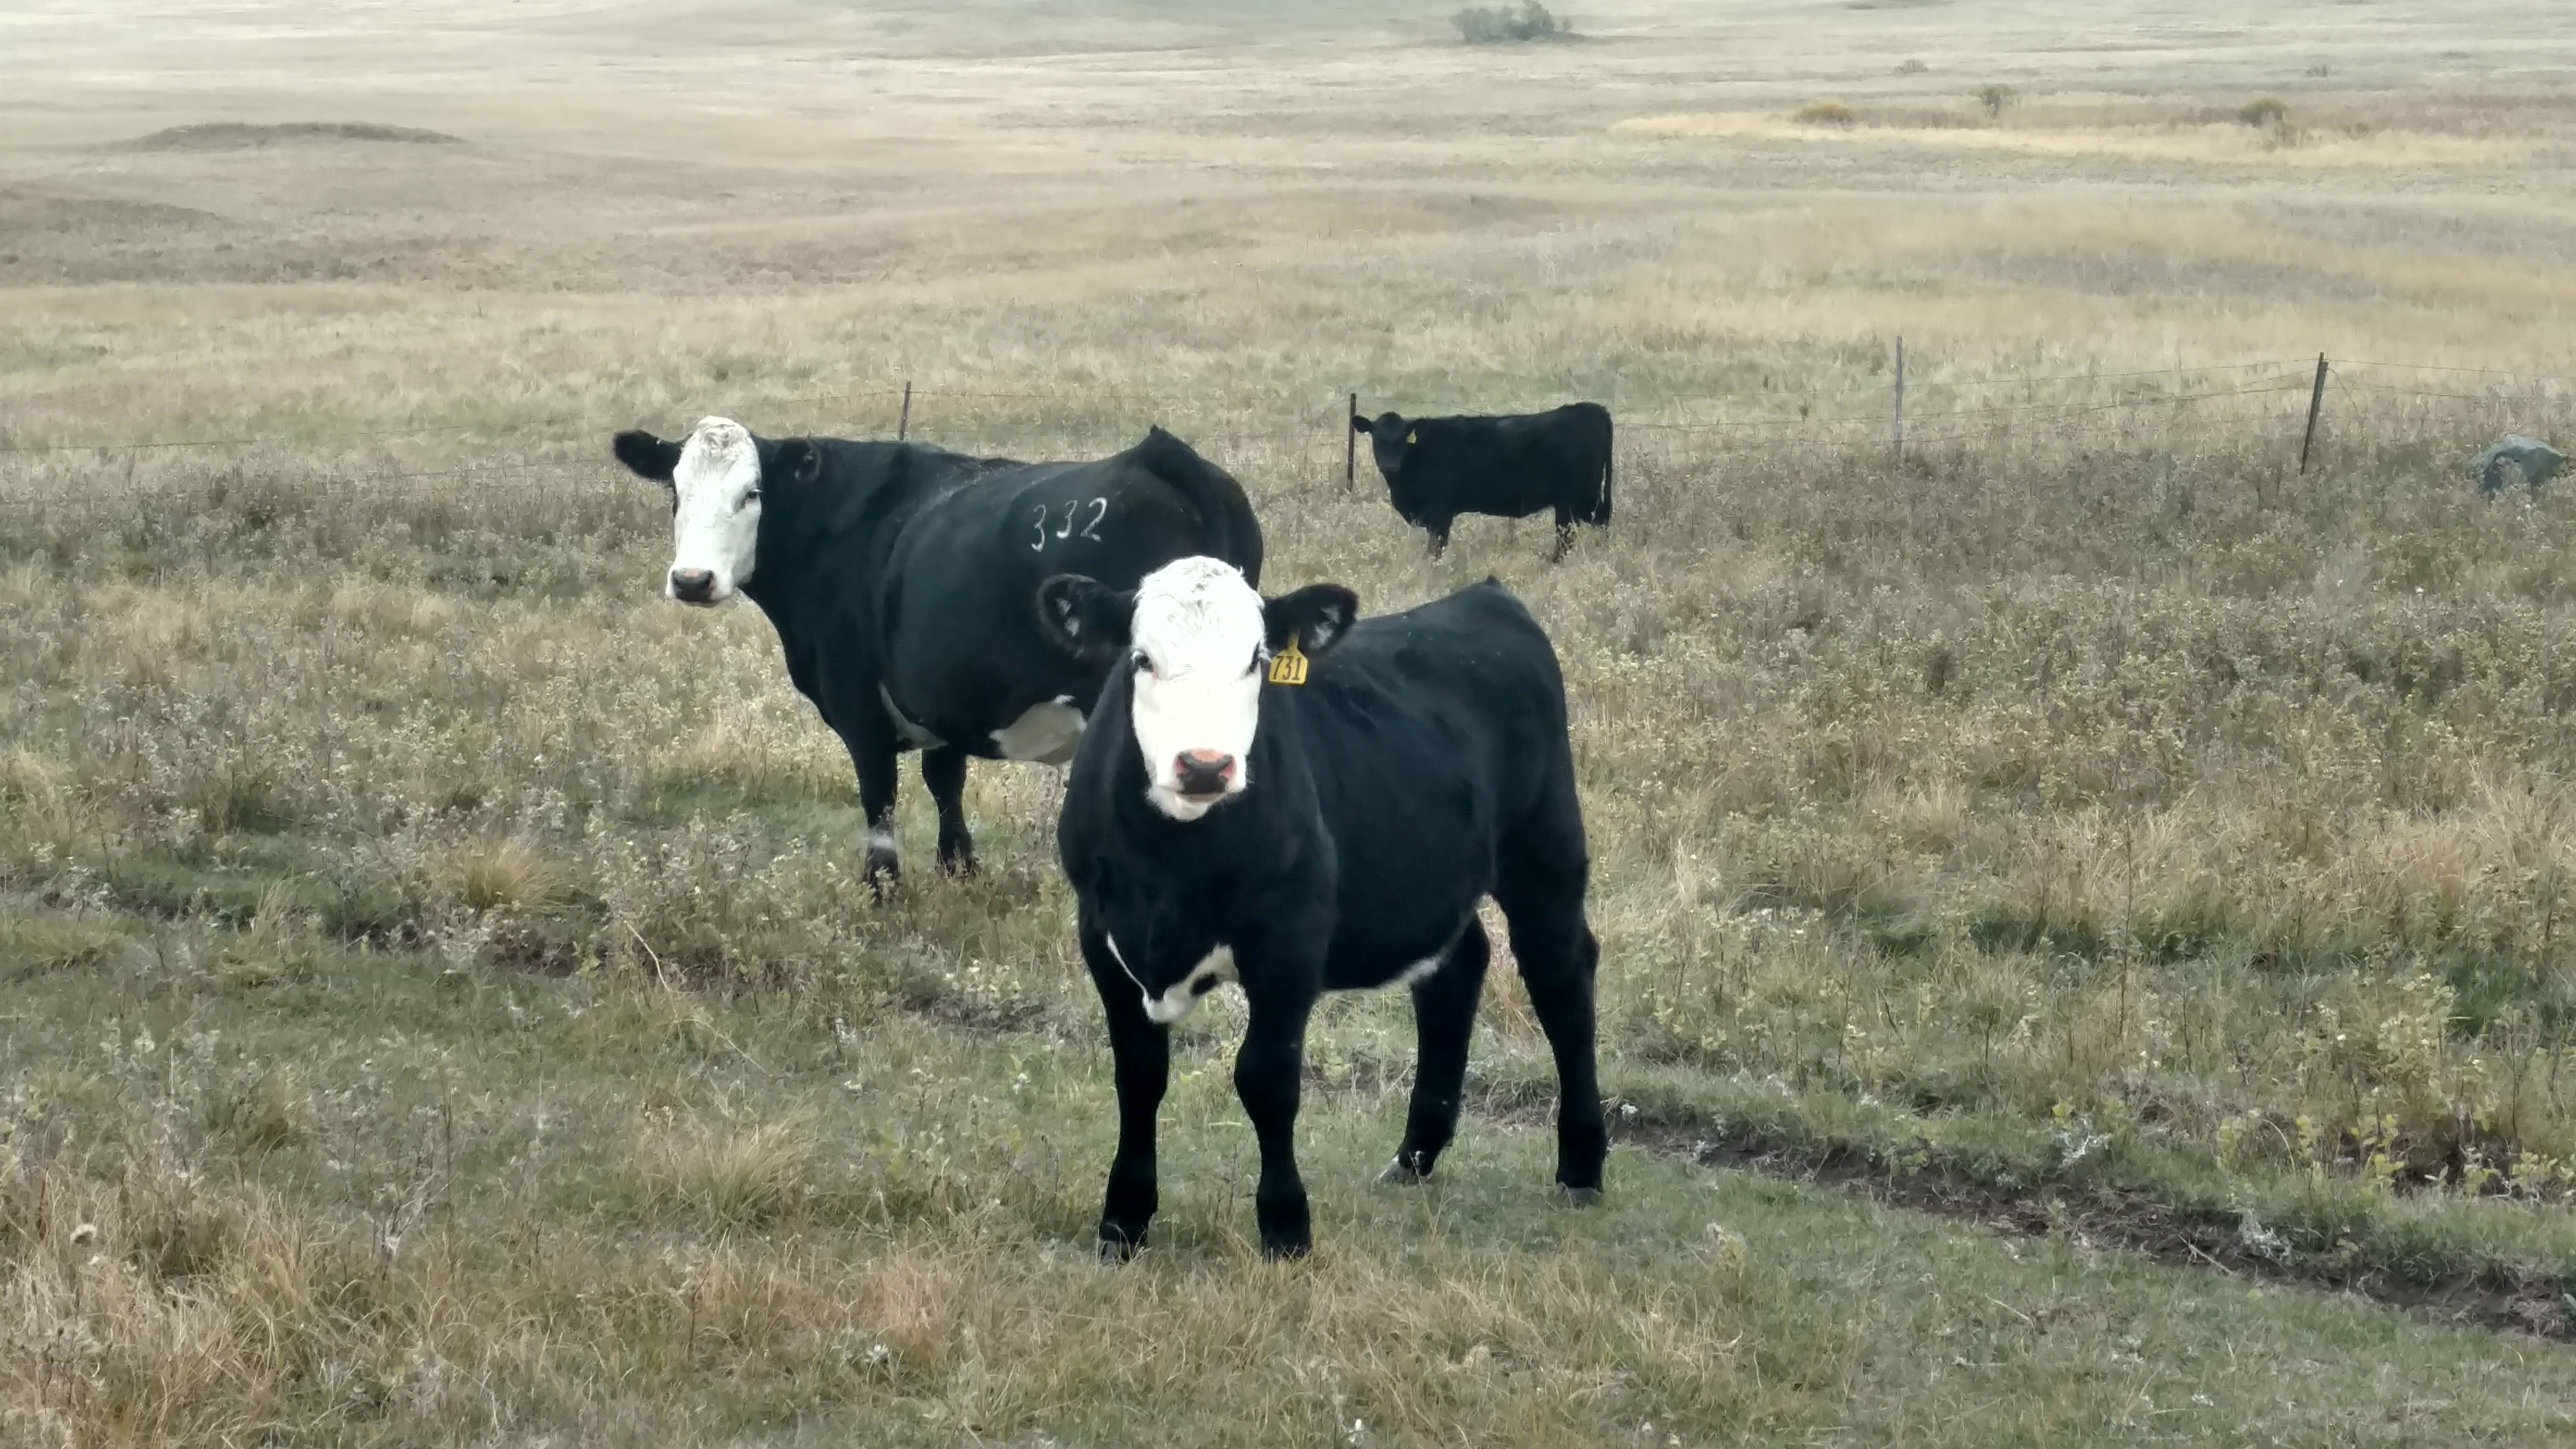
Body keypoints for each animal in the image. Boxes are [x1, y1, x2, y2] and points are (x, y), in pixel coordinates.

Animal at [623, 415, 1267, 882]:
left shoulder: (860, 708)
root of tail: (1162, 458)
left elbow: (879, 801)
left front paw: (882, 888)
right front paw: (959, 869)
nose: (692, 580)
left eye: (752, 493)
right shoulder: (945, 700)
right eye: (676, 492)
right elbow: (945, 782)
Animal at [1035, 551, 1597, 1253]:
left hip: (1545, 852)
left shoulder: (1290, 939)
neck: (1170, 873)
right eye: (1141, 658)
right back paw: (1416, 1154)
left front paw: (1285, 1225)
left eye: (1256, 659)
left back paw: (1581, 1166)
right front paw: (1123, 1219)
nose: (1204, 765)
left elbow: (1266, 1077)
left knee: (1562, 978)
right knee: (1456, 971)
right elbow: (1139, 1075)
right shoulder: (1101, 933)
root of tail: (1484, 597)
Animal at [1350, 397, 1607, 562]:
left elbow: (1435, 549)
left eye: (1403, 439)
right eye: (1376, 438)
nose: (1390, 465)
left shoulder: (1440, 512)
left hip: (1572, 502)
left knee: (1566, 538)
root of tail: (1592, 409)